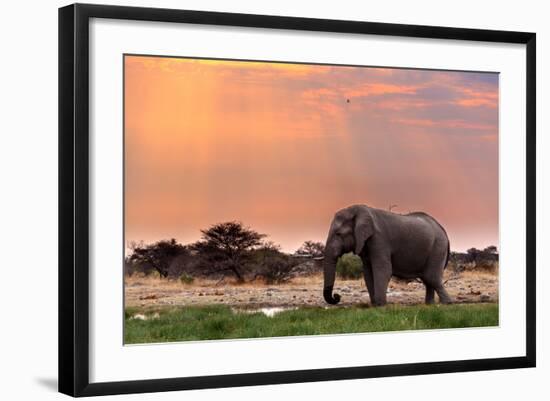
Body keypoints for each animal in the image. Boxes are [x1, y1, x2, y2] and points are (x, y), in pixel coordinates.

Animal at [324, 205, 452, 304]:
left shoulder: (379, 240)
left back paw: (447, 303)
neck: (358, 211)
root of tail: (444, 231)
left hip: (438, 247)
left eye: (338, 234)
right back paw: (430, 305)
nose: (337, 296)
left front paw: (381, 304)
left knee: (431, 277)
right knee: (427, 279)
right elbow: (368, 273)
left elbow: (383, 270)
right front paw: (374, 304)